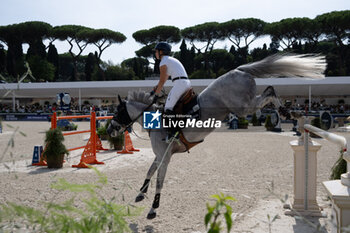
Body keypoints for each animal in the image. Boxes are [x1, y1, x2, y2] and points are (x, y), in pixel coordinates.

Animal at [106, 53, 326, 219]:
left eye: (118, 111)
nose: (110, 130)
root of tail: (239, 70)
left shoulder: (165, 156)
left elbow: (159, 180)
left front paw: (153, 208)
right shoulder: (160, 155)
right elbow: (150, 172)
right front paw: (140, 193)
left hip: (243, 108)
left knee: (269, 93)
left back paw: (288, 111)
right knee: (269, 92)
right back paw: (288, 111)